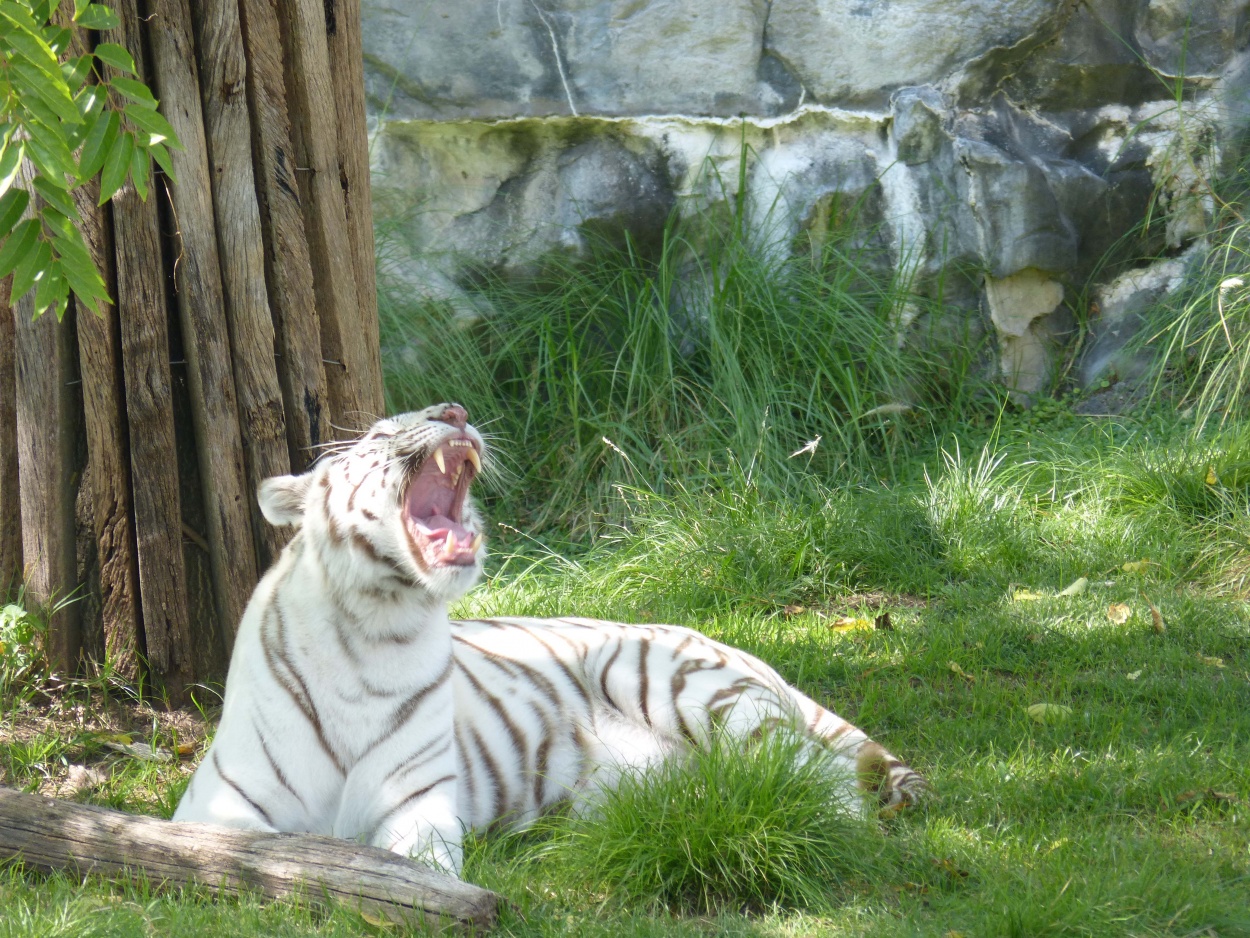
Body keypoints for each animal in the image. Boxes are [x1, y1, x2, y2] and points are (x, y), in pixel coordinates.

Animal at [173, 405, 920, 875]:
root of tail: (747, 653)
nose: (455, 411)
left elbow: (419, 866)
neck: (375, 627)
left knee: (824, 777)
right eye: (382, 431)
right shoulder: (217, 811)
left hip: (680, 681)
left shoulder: (419, 803)